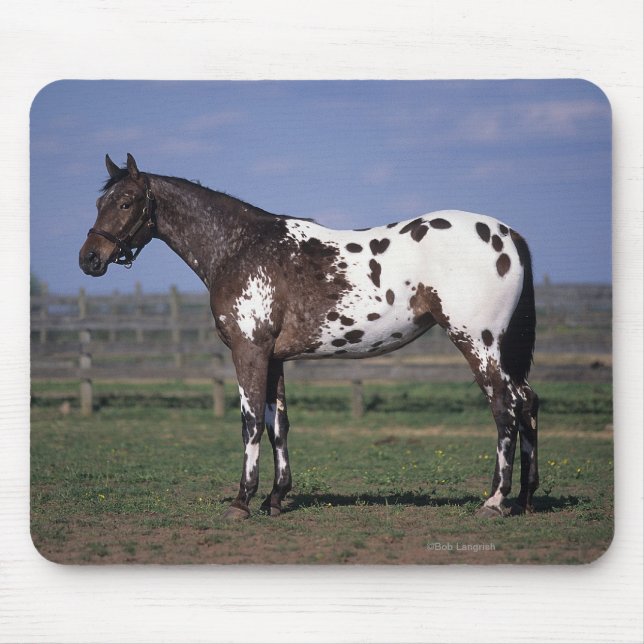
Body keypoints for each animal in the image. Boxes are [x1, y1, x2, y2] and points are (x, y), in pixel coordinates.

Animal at [79, 153, 539, 520]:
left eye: (125, 202)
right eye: (99, 202)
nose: (89, 260)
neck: (240, 247)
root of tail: (508, 235)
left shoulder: (249, 350)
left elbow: (250, 422)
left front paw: (242, 501)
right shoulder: (274, 357)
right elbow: (277, 423)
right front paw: (275, 498)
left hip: (477, 342)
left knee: (505, 407)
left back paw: (494, 502)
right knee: (528, 402)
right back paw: (525, 497)